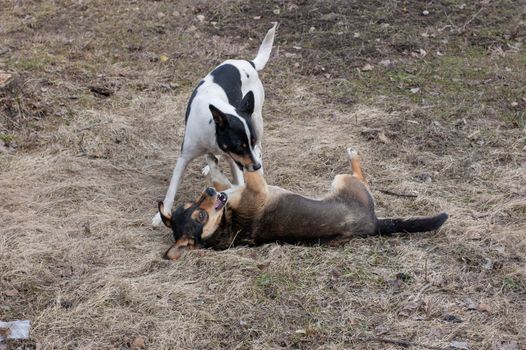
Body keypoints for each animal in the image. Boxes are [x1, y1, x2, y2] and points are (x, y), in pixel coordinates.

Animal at [151, 23, 278, 227]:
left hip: (257, 119)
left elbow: (237, 183)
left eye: (247, 144)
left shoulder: (235, 160)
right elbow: (172, 189)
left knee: (260, 149)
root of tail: (248, 62)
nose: (256, 167)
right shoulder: (185, 157)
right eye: (239, 146)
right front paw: (160, 216)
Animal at [157, 146, 450, 258]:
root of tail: (374, 223)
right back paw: (352, 154)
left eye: (193, 203)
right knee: (360, 175)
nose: (207, 192)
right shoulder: (255, 185)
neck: (226, 223)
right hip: (343, 181)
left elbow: (223, 179)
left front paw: (212, 162)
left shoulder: (231, 189)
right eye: (200, 217)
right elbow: (248, 170)